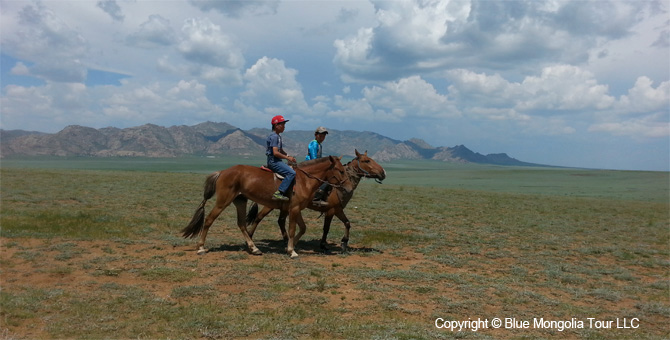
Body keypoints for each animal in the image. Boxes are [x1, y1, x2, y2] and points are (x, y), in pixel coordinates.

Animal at [181, 156, 354, 258]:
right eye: (340, 170)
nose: (349, 188)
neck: (304, 180)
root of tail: (222, 171)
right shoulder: (294, 209)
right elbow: (292, 229)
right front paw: (291, 250)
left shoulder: (296, 209)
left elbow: (303, 228)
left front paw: (290, 247)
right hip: (223, 201)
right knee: (209, 220)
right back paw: (201, 247)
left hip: (240, 201)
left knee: (242, 224)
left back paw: (254, 248)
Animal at [247, 150, 386, 251]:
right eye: (366, 160)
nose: (383, 173)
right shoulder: (331, 210)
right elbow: (326, 228)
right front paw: (323, 245)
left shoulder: (338, 209)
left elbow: (347, 223)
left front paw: (344, 243)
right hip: (271, 205)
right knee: (259, 217)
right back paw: (251, 237)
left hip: (284, 206)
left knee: (280, 221)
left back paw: (286, 241)